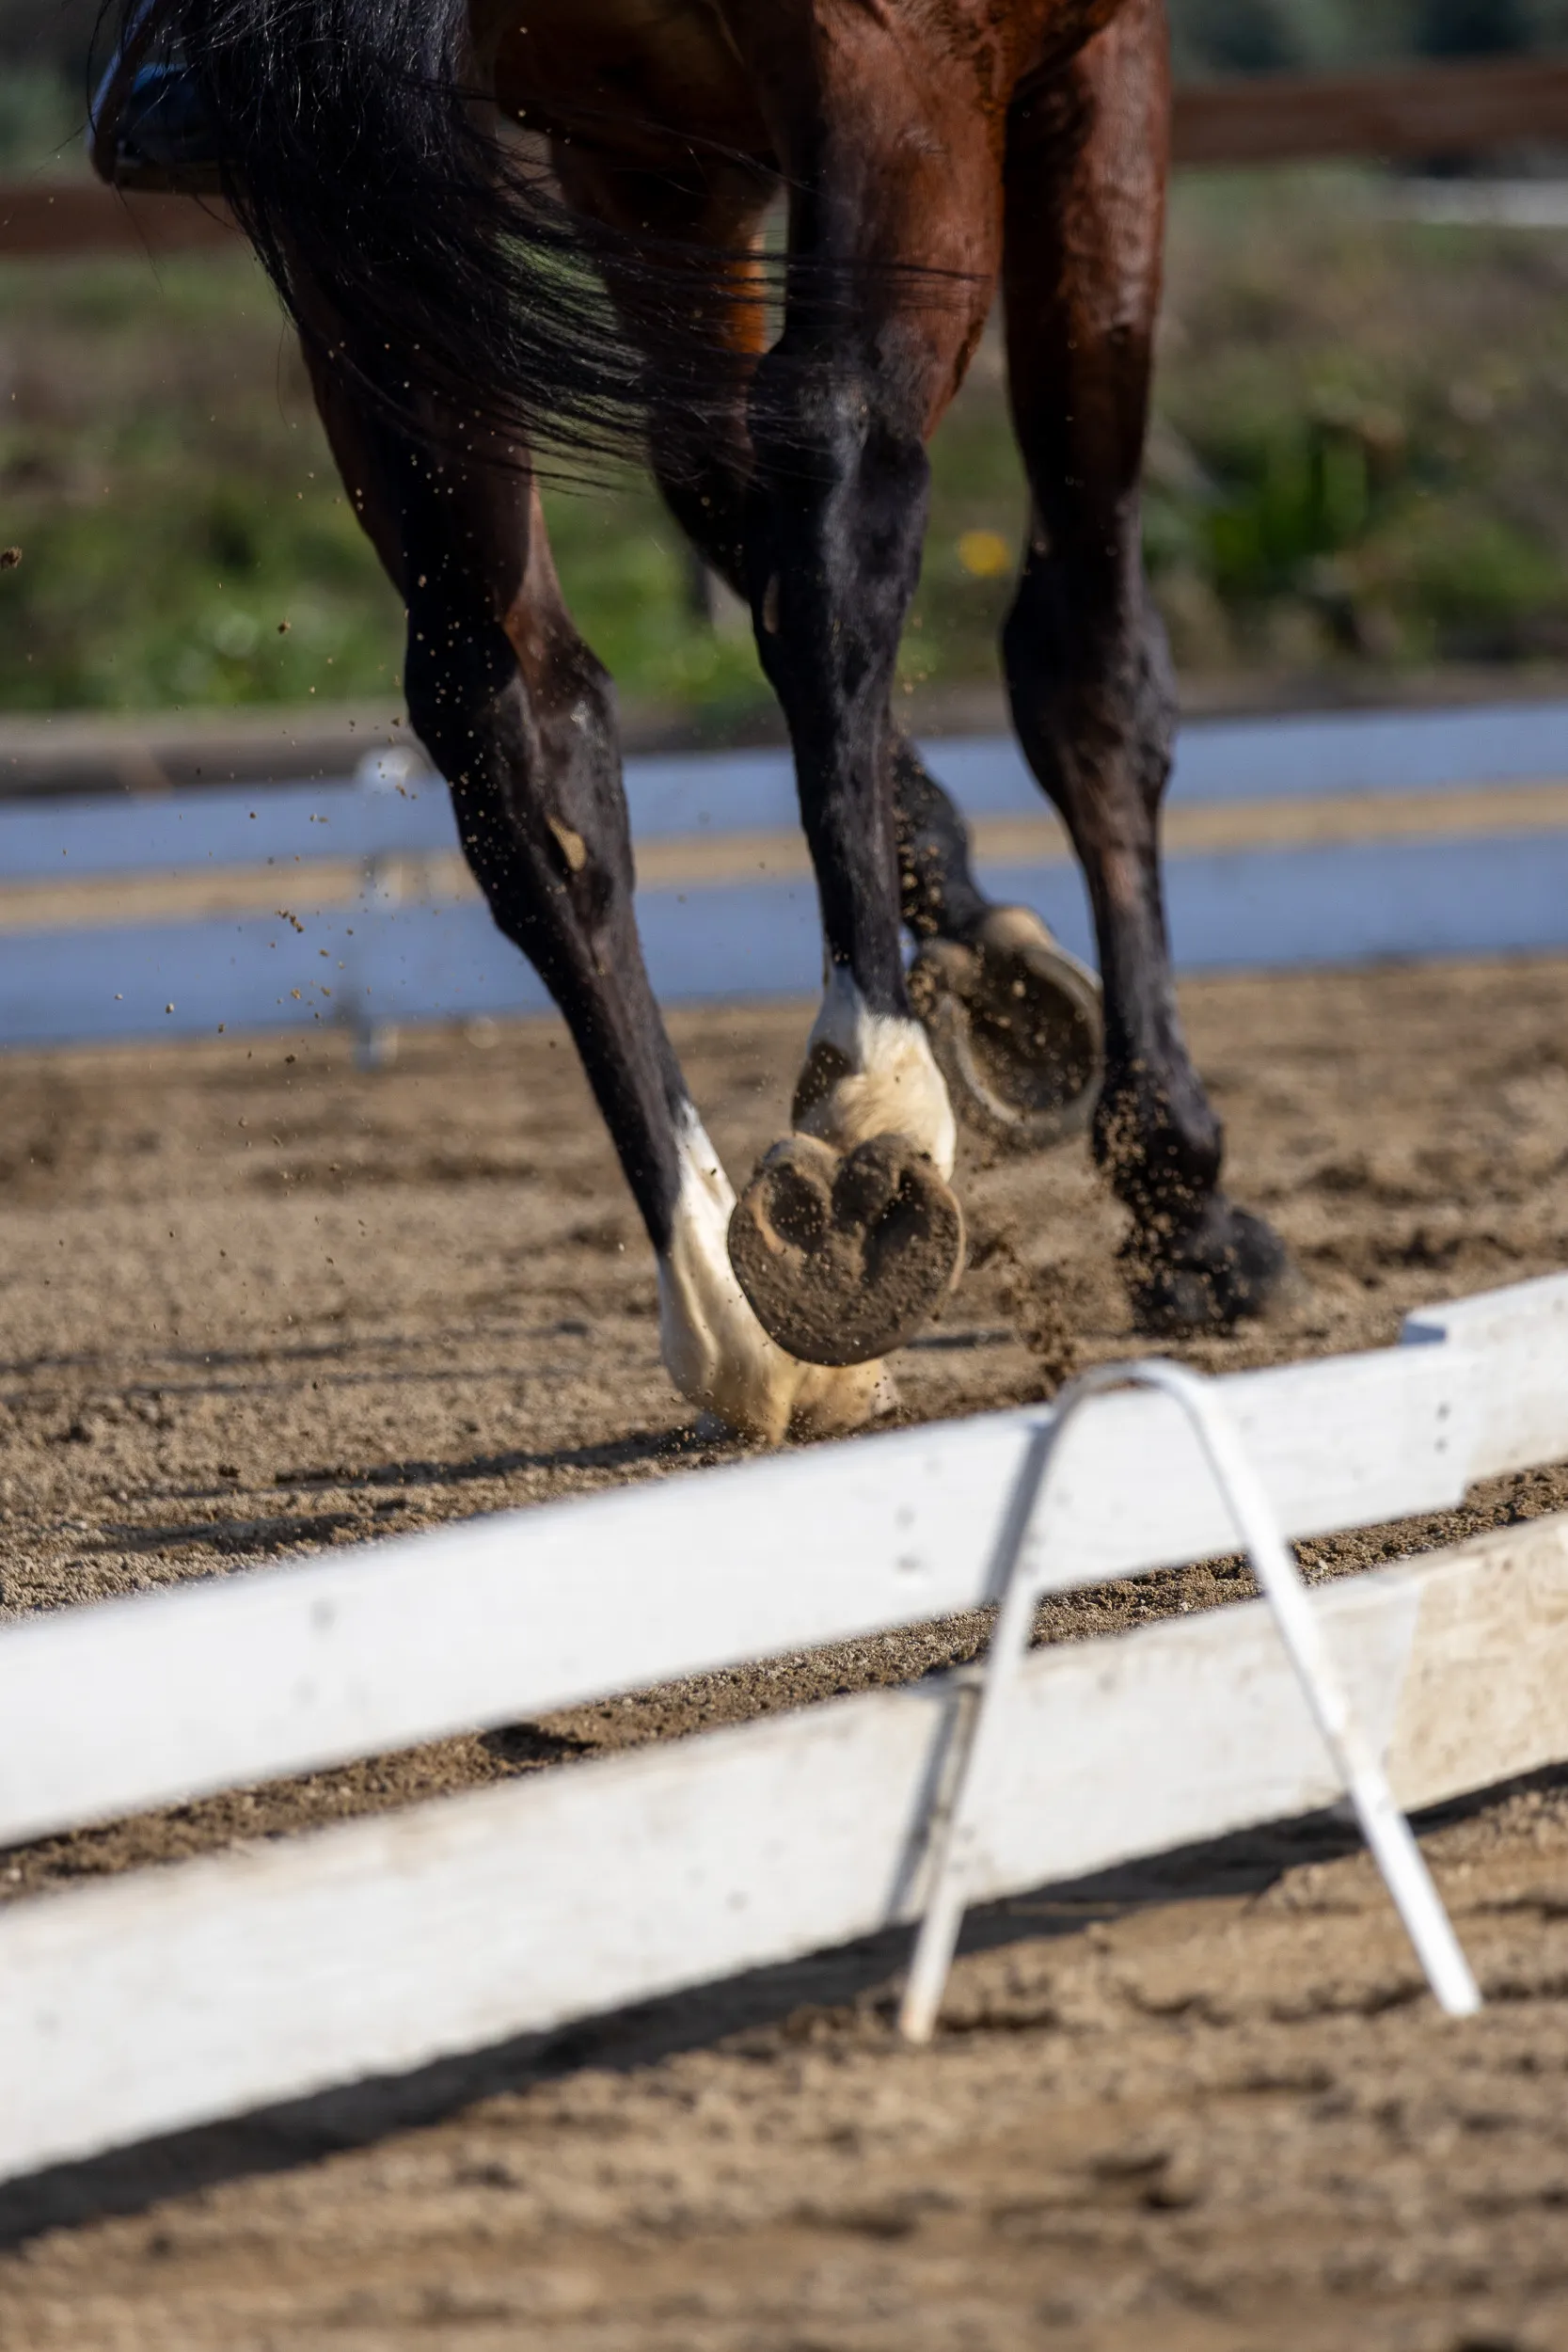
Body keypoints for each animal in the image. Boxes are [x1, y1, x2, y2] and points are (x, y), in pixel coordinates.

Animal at [97, 0, 1287, 1441]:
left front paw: (999, 973)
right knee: (842, 481)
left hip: (374, 243)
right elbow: (1086, 663)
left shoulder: (646, 162)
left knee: (511, 706)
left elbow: (715, 493)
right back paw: (866, 1128)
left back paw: (724, 1288)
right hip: (897, 74)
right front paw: (1178, 1194)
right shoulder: (1089, 68)